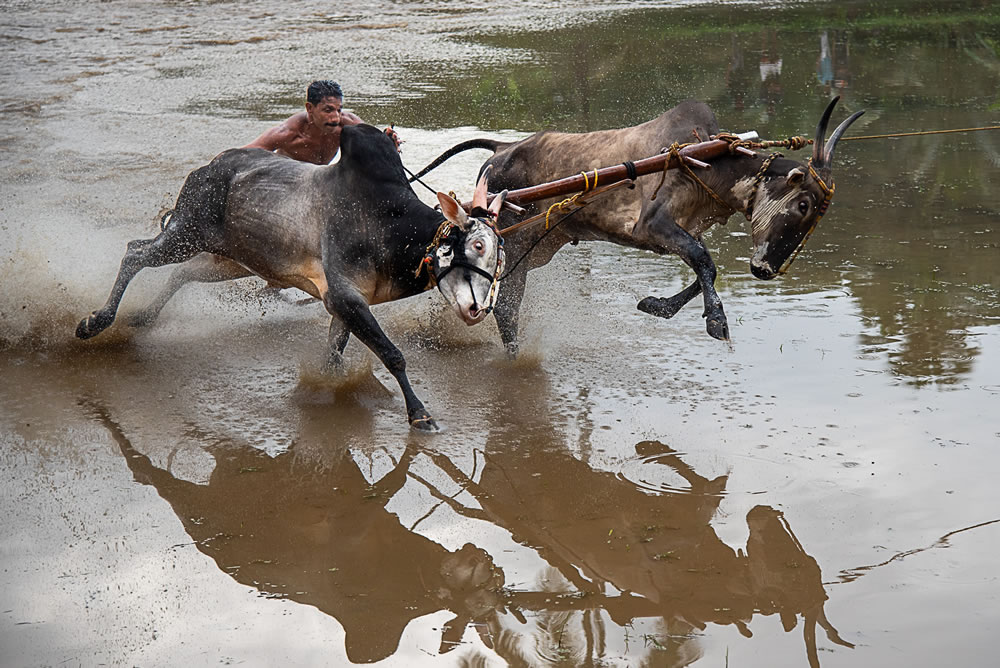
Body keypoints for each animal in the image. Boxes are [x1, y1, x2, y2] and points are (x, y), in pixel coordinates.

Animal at [410, 98, 864, 354]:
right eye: (803, 203)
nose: (766, 270)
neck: (711, 161)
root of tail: (502, 149)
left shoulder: (682, 232)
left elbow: (703, 271)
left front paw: (657, 306)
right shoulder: (653, 224)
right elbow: (706, 262)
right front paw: (717, 323)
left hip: (535, 248)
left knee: (501, 305)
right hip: (512, 243)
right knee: (505, 309)